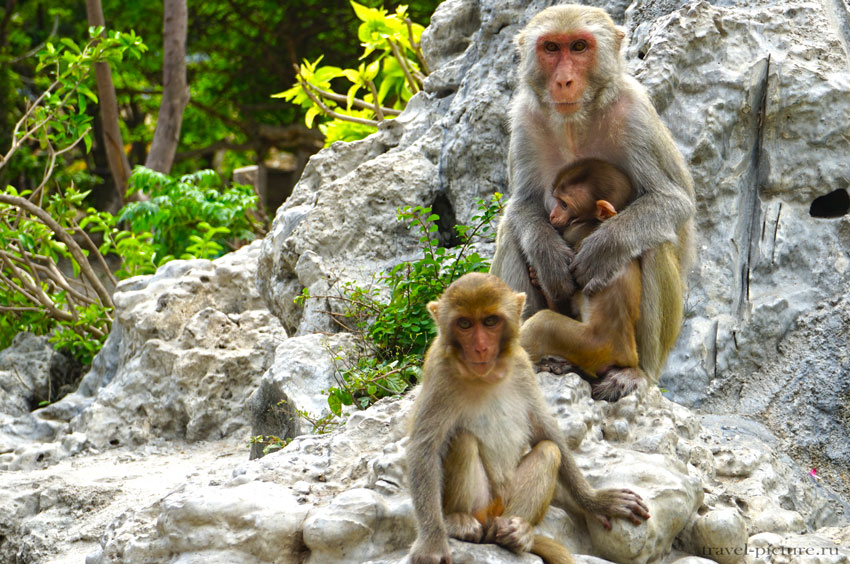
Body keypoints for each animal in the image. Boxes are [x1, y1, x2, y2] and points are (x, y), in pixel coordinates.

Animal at [406, 274, 648, 564]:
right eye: (464, 324)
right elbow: (424, 448)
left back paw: (515, 531)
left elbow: (544, 430)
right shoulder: (438, 371)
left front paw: (595, 500)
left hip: (505, 502)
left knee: (549, 451)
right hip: (482, 505)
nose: (480, 348)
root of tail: (491, 519)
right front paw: (432, 542)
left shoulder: (522, 364)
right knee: (462, 440)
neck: (486, 375)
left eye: (490, 321)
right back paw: (459, 522)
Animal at [524, 159, 644, 400]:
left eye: (564, 204)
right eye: (557, 201)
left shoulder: (575, 230)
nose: (552, 215)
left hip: (591, 347)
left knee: (543, 324)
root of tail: (627, 356)